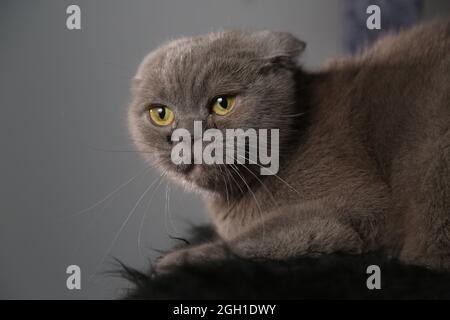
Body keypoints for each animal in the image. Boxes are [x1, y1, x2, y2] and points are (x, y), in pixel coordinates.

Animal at [127, 18, 450, 272]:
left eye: (222, 104)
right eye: (161, 114)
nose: (188, 136)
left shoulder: (360, 206)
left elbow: (253, 239)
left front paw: (172, 262)